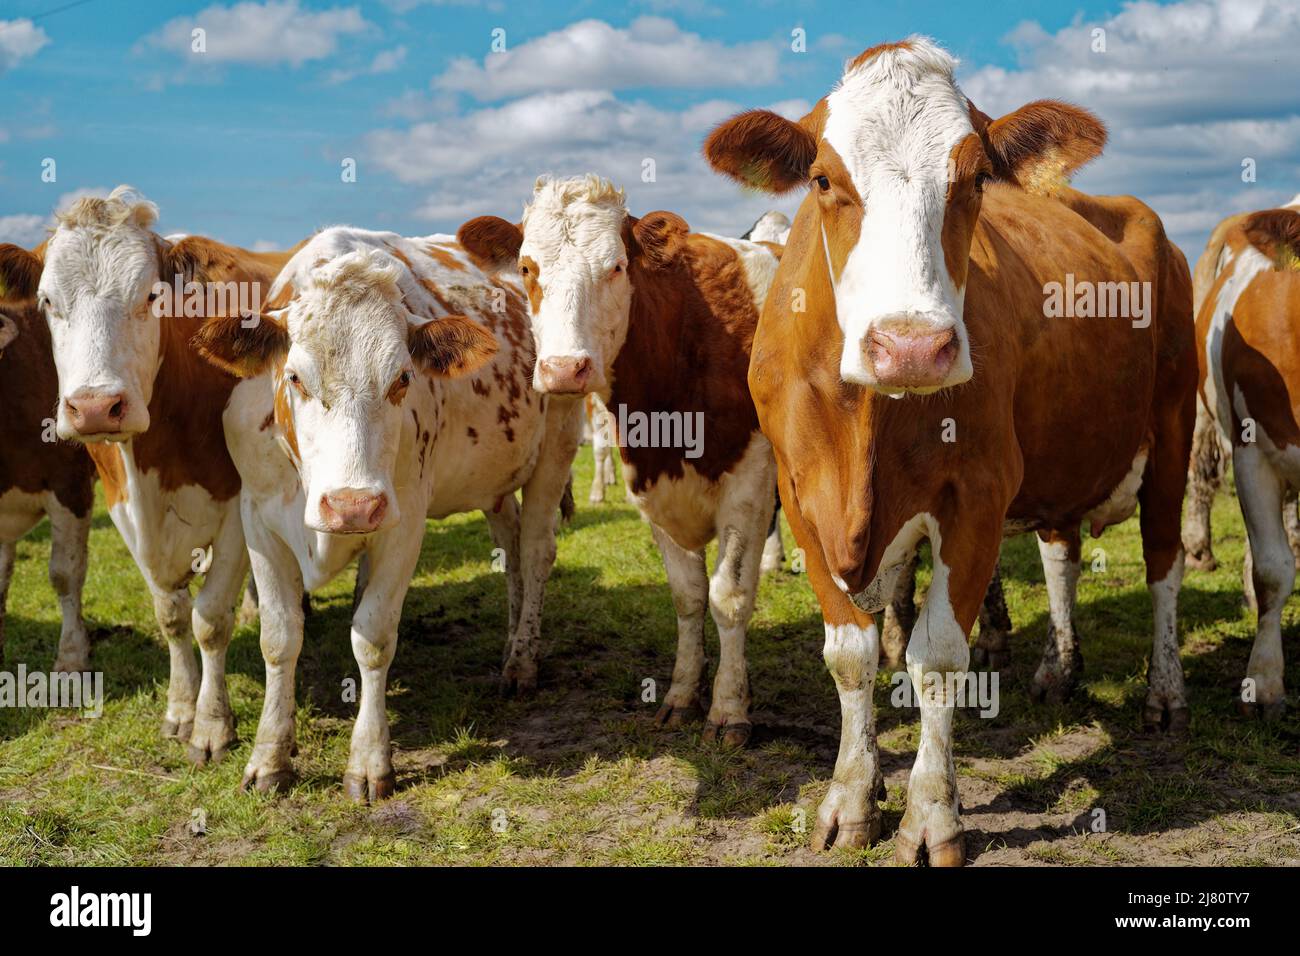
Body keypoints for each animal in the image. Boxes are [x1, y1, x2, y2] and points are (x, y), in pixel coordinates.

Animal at [191, 226, 581, 800]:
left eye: (401, 378)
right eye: (295, 378)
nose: (352, 505)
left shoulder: (404, 522)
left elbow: (372, 637)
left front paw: (370, 762)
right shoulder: (258, 518)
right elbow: (279, 638)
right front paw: (269, 759)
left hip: (556, 447)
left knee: (534, 552)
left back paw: (522, 661)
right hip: (493, 482)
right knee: (509, 549)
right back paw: (511, 638)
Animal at [458, 175, 781, 746]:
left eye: (615, 266)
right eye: (526, 268)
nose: (565, 369)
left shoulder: (750, 485)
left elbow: (730, 597)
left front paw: (728, 710)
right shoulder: (654, 489)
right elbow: (689, 596)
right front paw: (681, 696)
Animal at [704, 37, 1196, 864]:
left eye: (976, 179)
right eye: (824, 179)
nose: (911, 346)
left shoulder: (979, 493)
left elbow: (935, 657)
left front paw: (931, 815)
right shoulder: (800, 496)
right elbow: (851, 652)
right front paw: (851, 798)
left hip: (1175, 431)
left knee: (1163, 564)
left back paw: (1164, 694)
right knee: (1061, 556)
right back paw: (1059, 669)